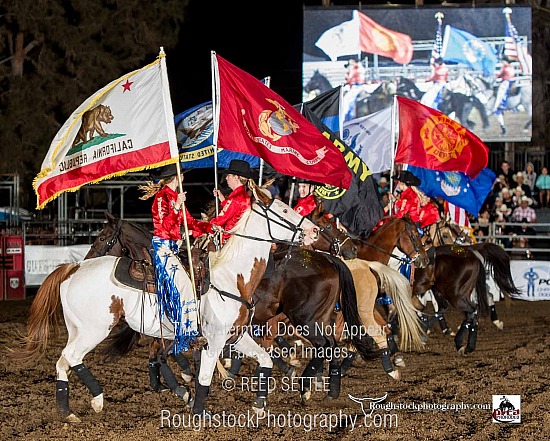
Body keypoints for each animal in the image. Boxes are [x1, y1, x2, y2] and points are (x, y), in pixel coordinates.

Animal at [14, 185, 320, 420]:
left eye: (101, 237)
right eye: (284, 210)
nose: (314, 230)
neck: (232, 278)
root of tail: (74, 268)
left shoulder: (236, 336)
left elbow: (264, 360)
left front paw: (258, 406)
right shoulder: (212, 342)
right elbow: (203, 378)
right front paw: (198, 411)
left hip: (78, 329)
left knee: (62, 361)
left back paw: (66, 412)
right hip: (94, 330)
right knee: (72, 357)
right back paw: (97, 399)